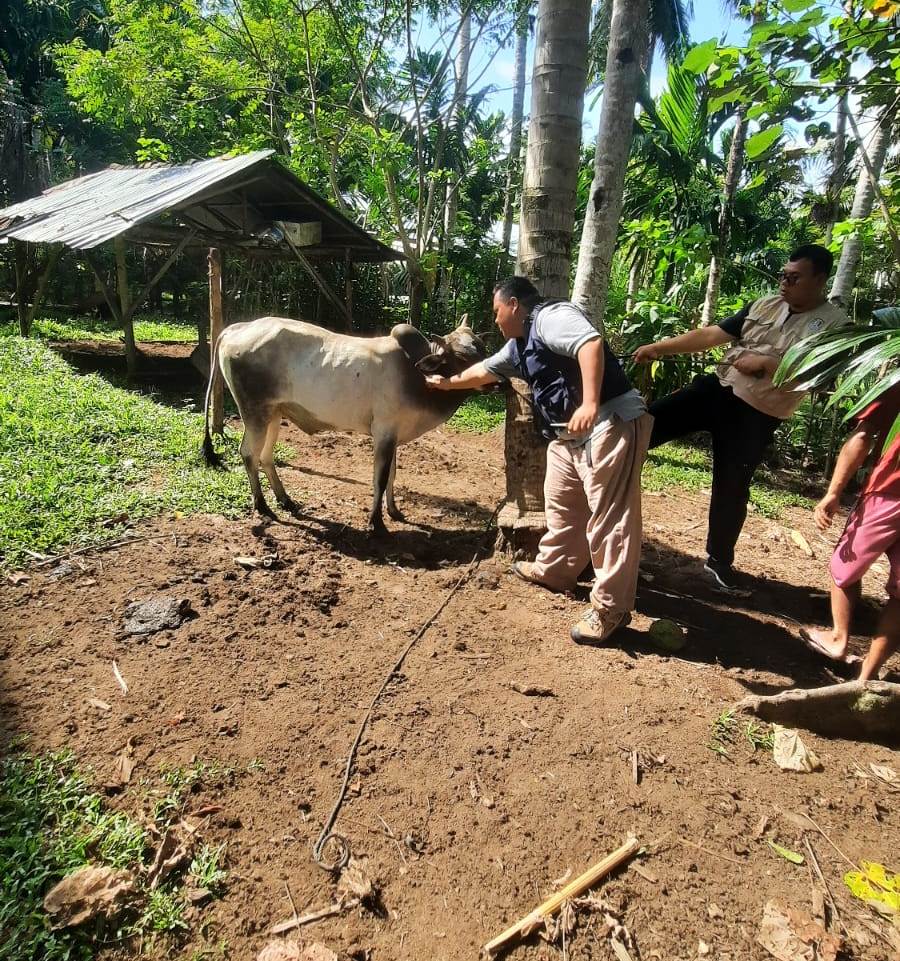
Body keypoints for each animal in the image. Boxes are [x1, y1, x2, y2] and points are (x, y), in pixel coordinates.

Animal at [201, 316, 488, 528]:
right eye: (462, 357)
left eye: (482, 348)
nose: (491, 378)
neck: (416, 374)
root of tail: (237, 328)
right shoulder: (384, 432)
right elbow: (380, 478)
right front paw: (376, 523)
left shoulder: (393, 435)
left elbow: (393, 475)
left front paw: (394, 511)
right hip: (255, 414)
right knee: (249, 454)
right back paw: (262, 506)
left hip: (274, 414)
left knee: (265, 456)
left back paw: (285, 499)